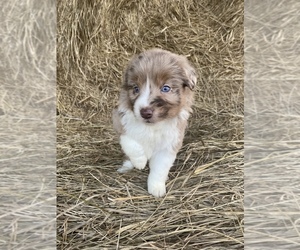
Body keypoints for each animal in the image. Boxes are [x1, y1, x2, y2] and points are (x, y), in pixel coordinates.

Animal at [112, 48, 197, 197]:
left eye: (165, 88)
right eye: (136, 89)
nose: (145, 112)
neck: (152, 126)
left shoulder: (170, 144)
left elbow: (159, 169)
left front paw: (156, 188)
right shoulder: (120, 122)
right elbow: (131, 143)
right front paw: (140, 162)